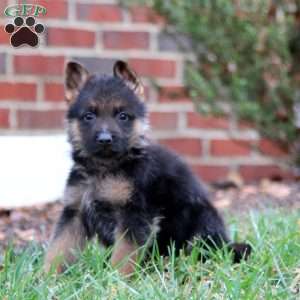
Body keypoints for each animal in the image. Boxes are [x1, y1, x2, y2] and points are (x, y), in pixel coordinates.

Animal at [44, 59, 251, 276]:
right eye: (89, 116)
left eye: (123, 116)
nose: (105, 139)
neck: (105, 168)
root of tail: (225, 244)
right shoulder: (74, 213)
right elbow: (59, 248)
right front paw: (46, 277)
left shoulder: (134, 215)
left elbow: (123, 255)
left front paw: (116, 279)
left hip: (200, 222)